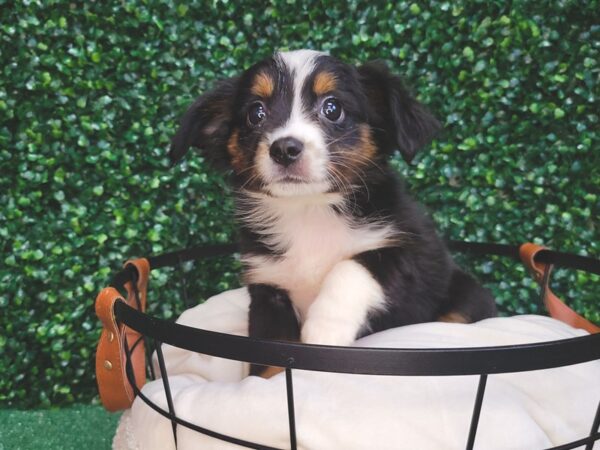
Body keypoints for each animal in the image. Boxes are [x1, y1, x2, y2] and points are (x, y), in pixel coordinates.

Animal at [170, 49, 496, 374]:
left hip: (465, 294)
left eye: (332, 108)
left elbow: (351, 267)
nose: (284, 149)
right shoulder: (269, 289)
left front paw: (323, 332)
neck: (309, 209)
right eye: (256, 112)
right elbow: (269, 360)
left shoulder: (407, 250)